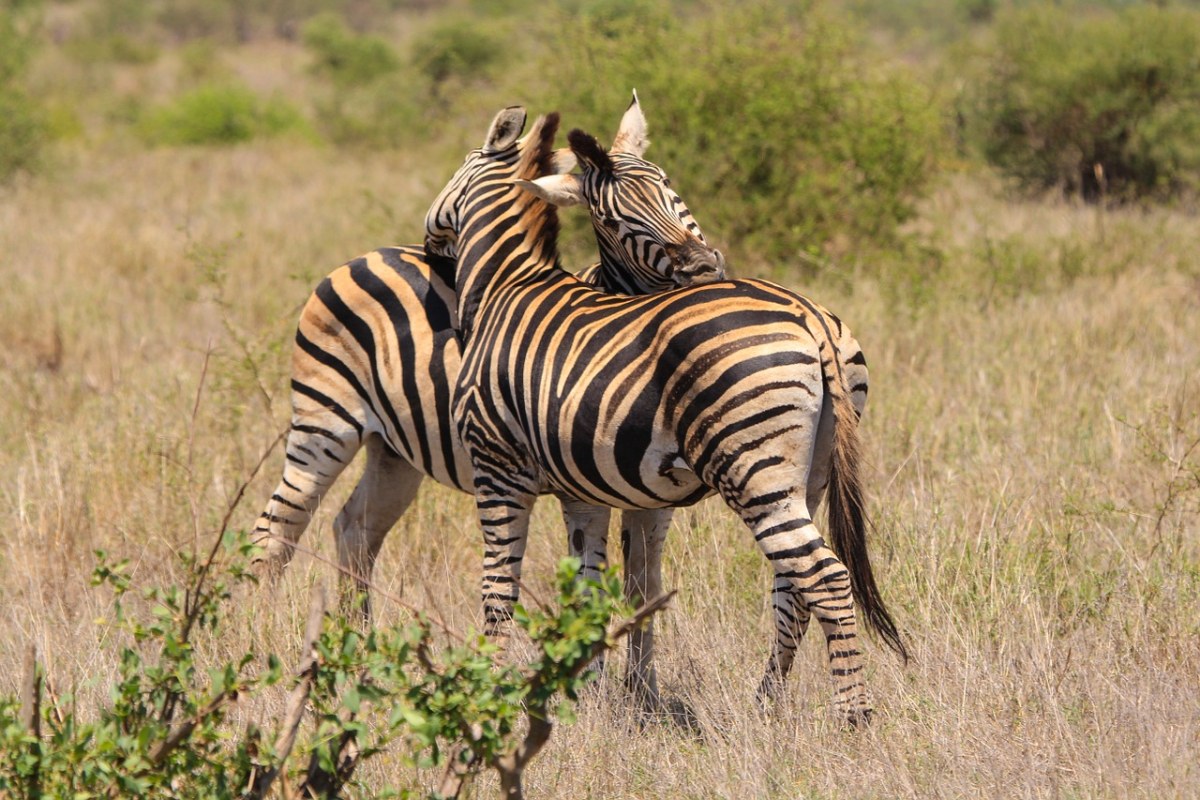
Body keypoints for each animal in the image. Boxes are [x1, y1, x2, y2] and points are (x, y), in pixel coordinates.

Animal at [249, 100, 720, 705]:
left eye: (669, 188)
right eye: (613, 220)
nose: (704, 269)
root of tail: (366, 254)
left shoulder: (652, 498)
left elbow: (644, 587)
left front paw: (643, 695)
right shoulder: (577, 488)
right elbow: (587, 584)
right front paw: (592, 691)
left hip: (394, 448)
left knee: (355, 527)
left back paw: (357, 648)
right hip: (323, 418)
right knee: (280, 526)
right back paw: (261, 636)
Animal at [427, 103, 902, 724]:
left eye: (669, 188)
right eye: (613, 219)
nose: (705, 264)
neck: (508, 286)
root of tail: (810, 315)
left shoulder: (498, 470)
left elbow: (499, 589)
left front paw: (490, 691)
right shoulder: (590, 491)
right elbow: (600, 586)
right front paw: (593, 693)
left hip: (752, 468)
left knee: (822, 576)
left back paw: (853, 716)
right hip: (810, 473)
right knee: (793, 583)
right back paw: (766, 701)